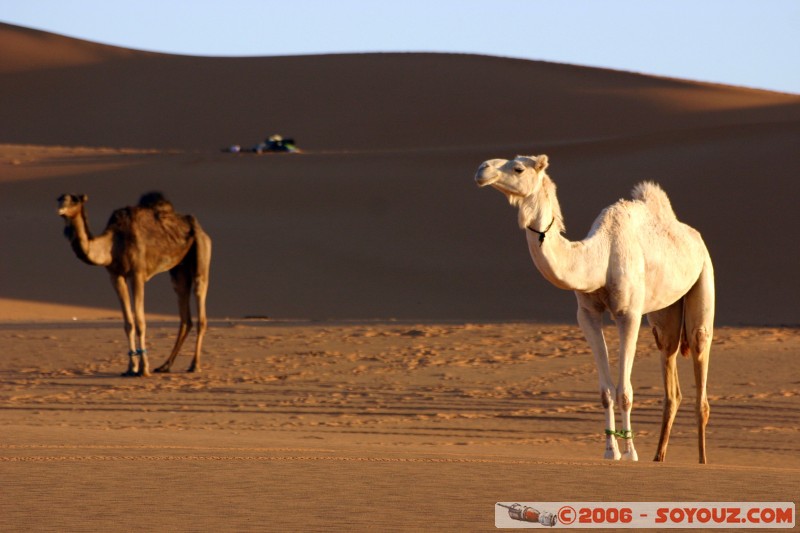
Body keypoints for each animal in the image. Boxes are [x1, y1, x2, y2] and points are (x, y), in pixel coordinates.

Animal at [58, 191, 211, 374]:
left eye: (74, 200)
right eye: (59, 198)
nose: (61, 209)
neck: (113, 243)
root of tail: (200, 229)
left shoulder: (137, 274)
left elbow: (140, 322)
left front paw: (144, 369)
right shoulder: (116, 276)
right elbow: (128, 323)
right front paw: (131, 368)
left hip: (201, 252)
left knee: (200, 305)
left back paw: (194, 365)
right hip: (178, 270)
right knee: (184, 312)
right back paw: (165, 366)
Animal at [478, 154, 716, 462]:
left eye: (518, 168)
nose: (482, 169)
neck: (599, 256)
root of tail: (693, 235)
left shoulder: (629, 314)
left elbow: (625, 391)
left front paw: (630, 452)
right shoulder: (587, 314)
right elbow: (606, 391)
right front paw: (610, 451)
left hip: (704, 274)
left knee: (700, 349)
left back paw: (701, 460)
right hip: (666, 311)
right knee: (669, 355)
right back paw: (658, 457)